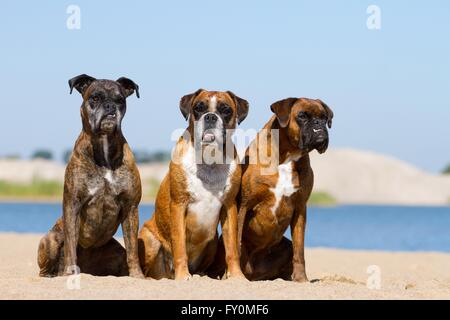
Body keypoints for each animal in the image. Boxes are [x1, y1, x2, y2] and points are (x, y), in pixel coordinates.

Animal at [38, 73, 145, 278]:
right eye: (95, 98)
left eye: (120, 100)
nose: (110, 106)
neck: (103, 146)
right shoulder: (72, 204)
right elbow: (70, 244)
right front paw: (70, 271)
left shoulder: (131, 207)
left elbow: (133, 248)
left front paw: (137, 275)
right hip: (50, 240)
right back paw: (55, 274)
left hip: (115, 251)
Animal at [139, 89, 248, 278]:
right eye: (199, 107)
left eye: (225, 110)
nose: (210, 116)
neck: (209, 159)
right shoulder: (179, 205)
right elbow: (180, 246)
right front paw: (183, 276)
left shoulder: (229, 207)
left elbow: (232, 248)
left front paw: (237, 276)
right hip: (149, 238)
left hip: (213, 242)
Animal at [209, 97, 332, 280]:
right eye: (302, 116)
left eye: (325, 118)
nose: (319, 124)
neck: (287, 157)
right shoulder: (243, 206)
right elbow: (236, 243)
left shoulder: (300, 208)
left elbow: (300, 250)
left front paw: (301, 279)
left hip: (284, 247)